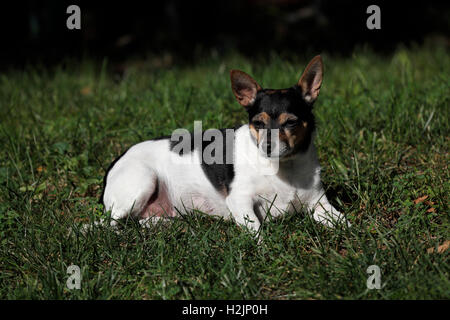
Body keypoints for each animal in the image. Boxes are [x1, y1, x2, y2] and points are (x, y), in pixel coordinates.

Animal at [103, 55, 352, 232]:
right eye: (258, 124)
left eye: (290, 123)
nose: (267, 147)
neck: (284, 169)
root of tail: (115, 161)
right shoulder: (240, 201)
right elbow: (256, 230)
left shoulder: (320, 206)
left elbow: (345, 223)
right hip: (142, 182)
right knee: (110, 225)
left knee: (139, 222)